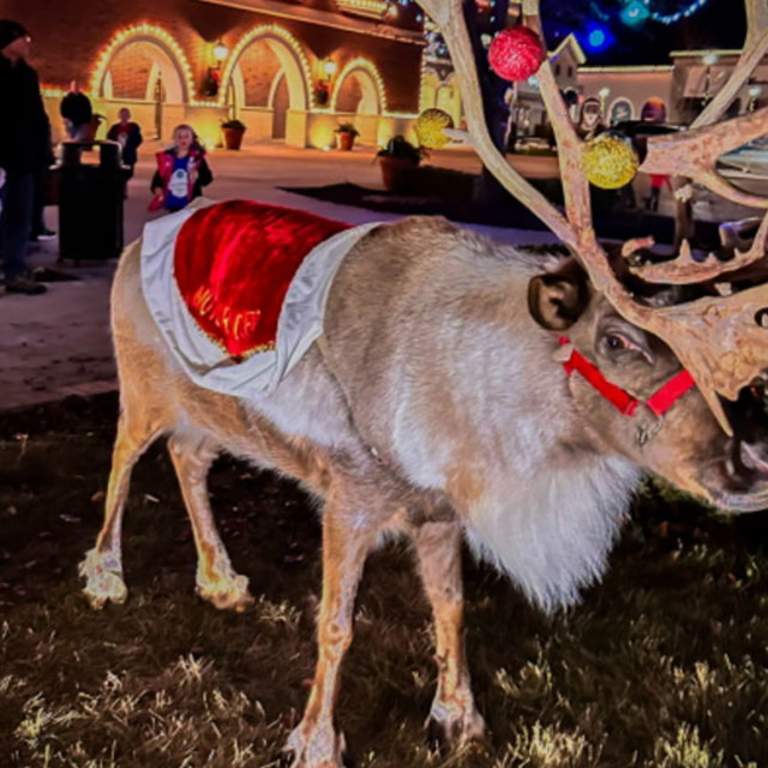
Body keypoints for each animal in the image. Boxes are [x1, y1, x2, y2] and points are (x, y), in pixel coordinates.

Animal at [79, 0, 768, 765]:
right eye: (616, 340)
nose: (747, 465)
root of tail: (139, 240)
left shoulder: (439, 511)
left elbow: (453, 607)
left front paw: (460, 717)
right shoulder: (350, 494)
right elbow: (336, 622)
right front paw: (316, 741)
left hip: (212, 411)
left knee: (188, 456)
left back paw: (223, 581)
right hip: (140, 381)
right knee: (124, 458)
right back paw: (106, 576)